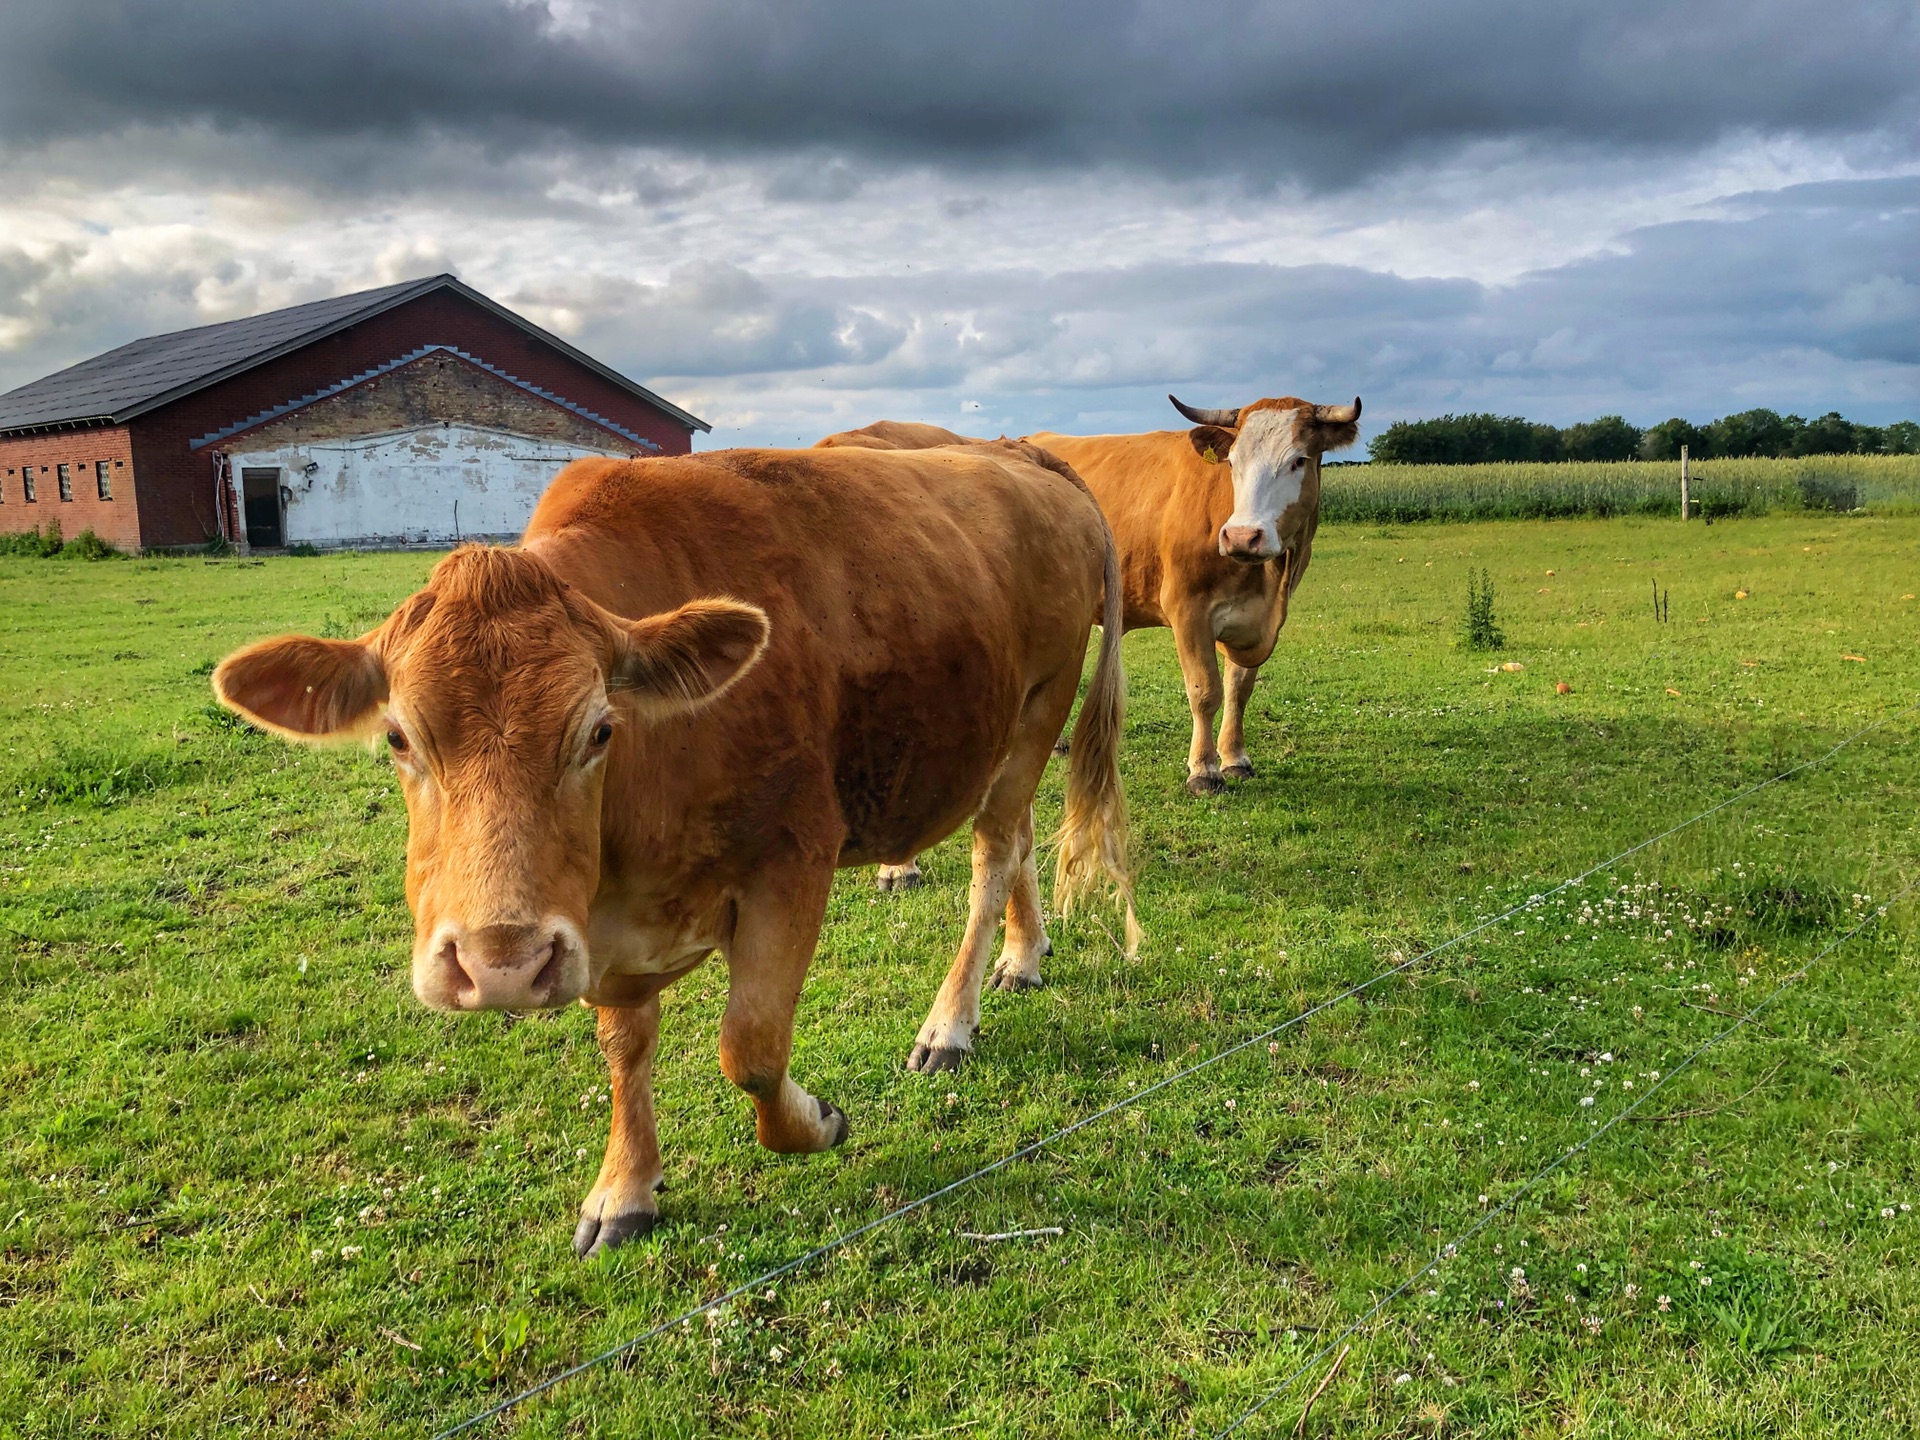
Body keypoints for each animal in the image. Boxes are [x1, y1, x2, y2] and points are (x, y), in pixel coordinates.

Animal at [216, 437, 1128, 1251]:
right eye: (399, 737)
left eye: (599, 730)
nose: (499, 964)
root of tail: (1022, 454)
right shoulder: (598, 931)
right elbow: (626, 1047)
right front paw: (625, 1188)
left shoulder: (794, 860)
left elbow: (751, 1047)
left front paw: (817, 1119)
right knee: (1019, 842)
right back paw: (1025, 954)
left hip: (1037, 710)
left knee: (994, 855)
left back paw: (950, 1023)